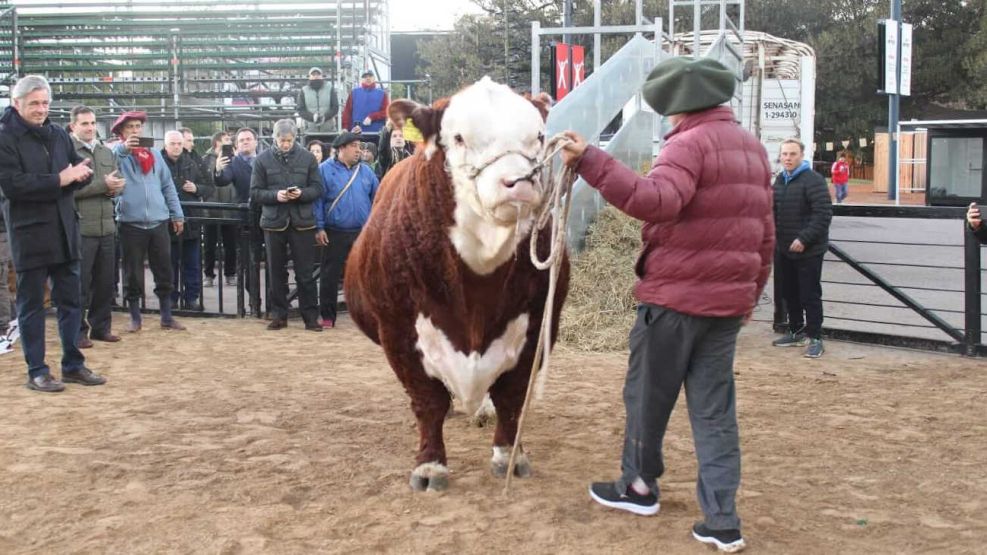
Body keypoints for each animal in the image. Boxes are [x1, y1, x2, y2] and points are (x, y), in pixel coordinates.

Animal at [344, 77, 572, 490]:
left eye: (539, 136)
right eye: (460, 137)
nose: (519, 182)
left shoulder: (536, 325)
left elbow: (512, 397)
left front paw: (509, 456)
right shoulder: (398, 330)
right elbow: (428, 400)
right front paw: (430, 465)